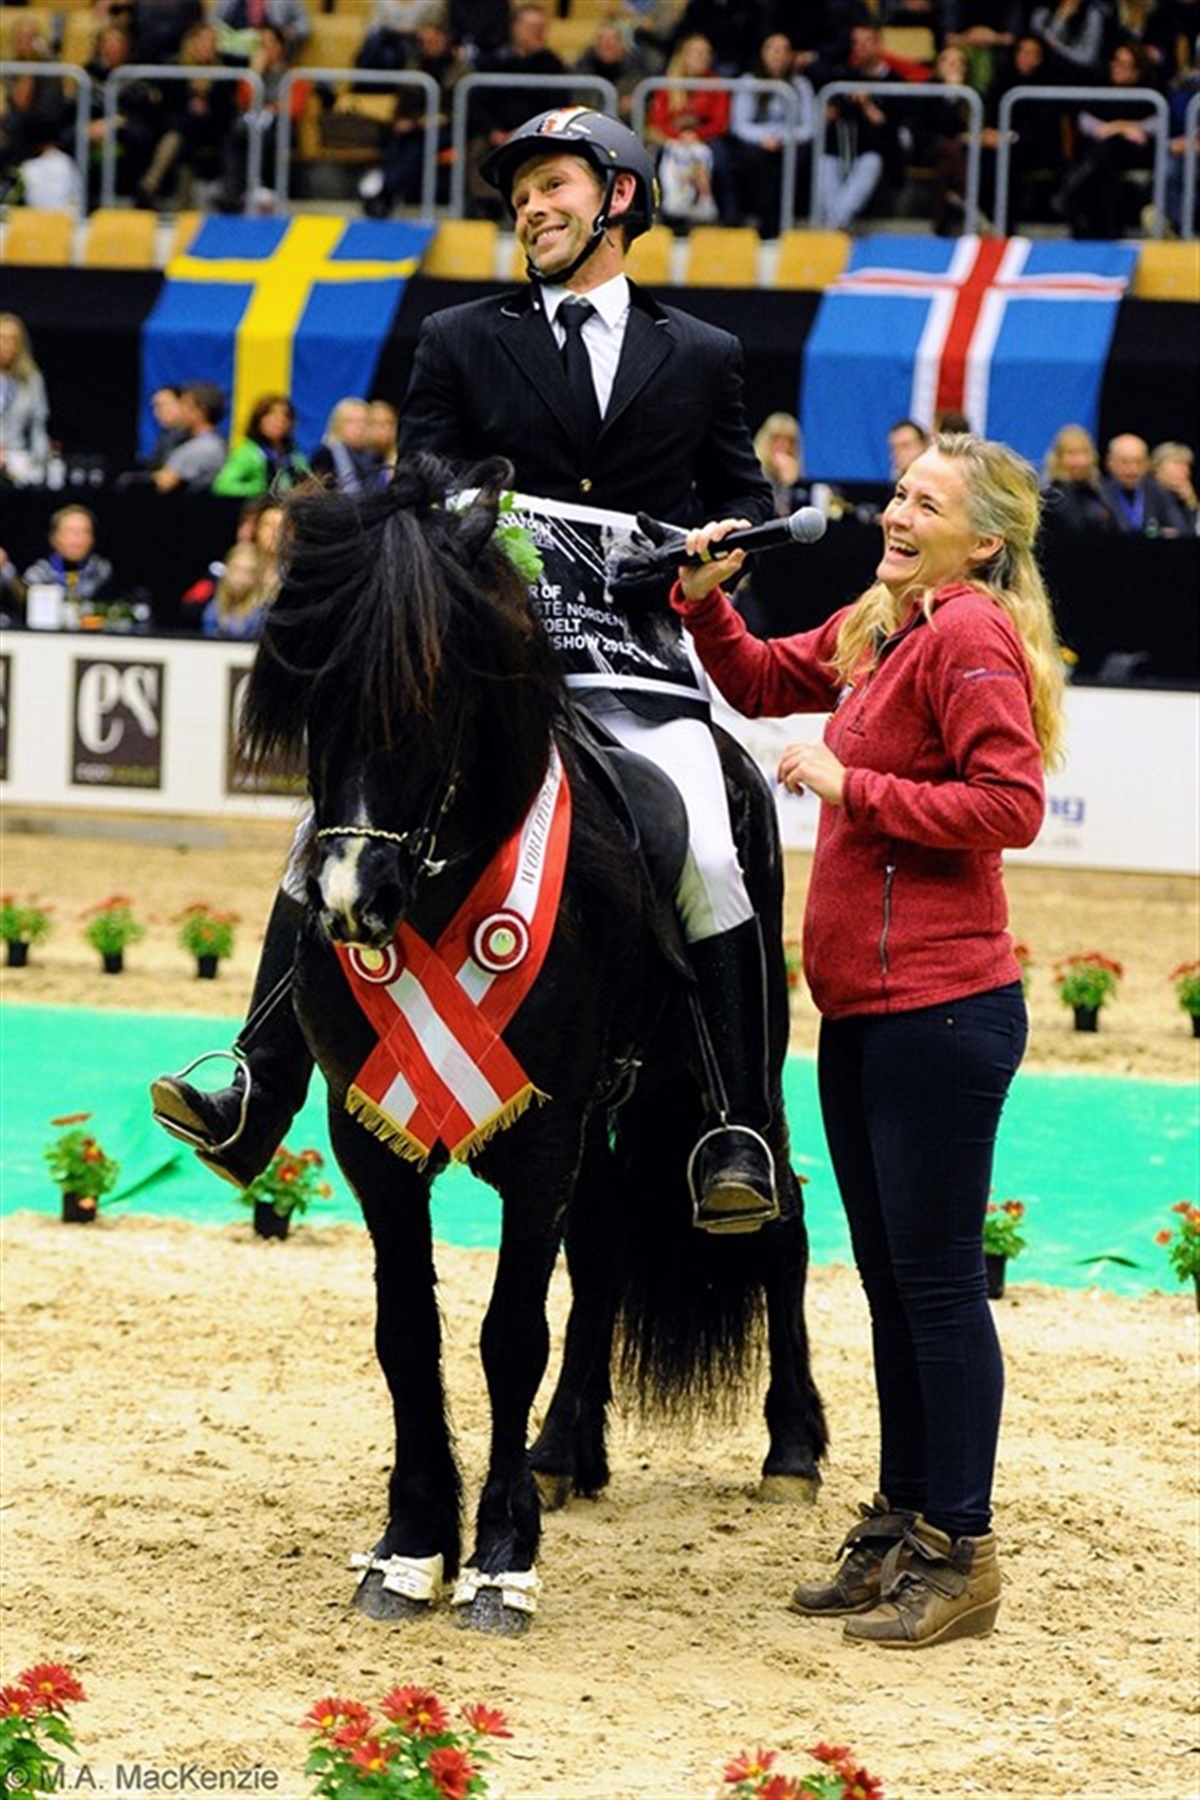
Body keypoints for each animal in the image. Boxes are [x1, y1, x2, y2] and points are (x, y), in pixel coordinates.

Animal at [240, 452, 827, 1635]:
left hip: (729, 1075)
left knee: (775, 1216)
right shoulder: (371, 1138)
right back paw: (565, 1449)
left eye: (430, 699)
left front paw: (500, 1560)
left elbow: (509, 1333)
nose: (349, 902)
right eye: (313, 698)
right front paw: (410, 1546)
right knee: (601, 1252)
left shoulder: (544, 1131)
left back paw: (789, 1448)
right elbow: (407, 1335)